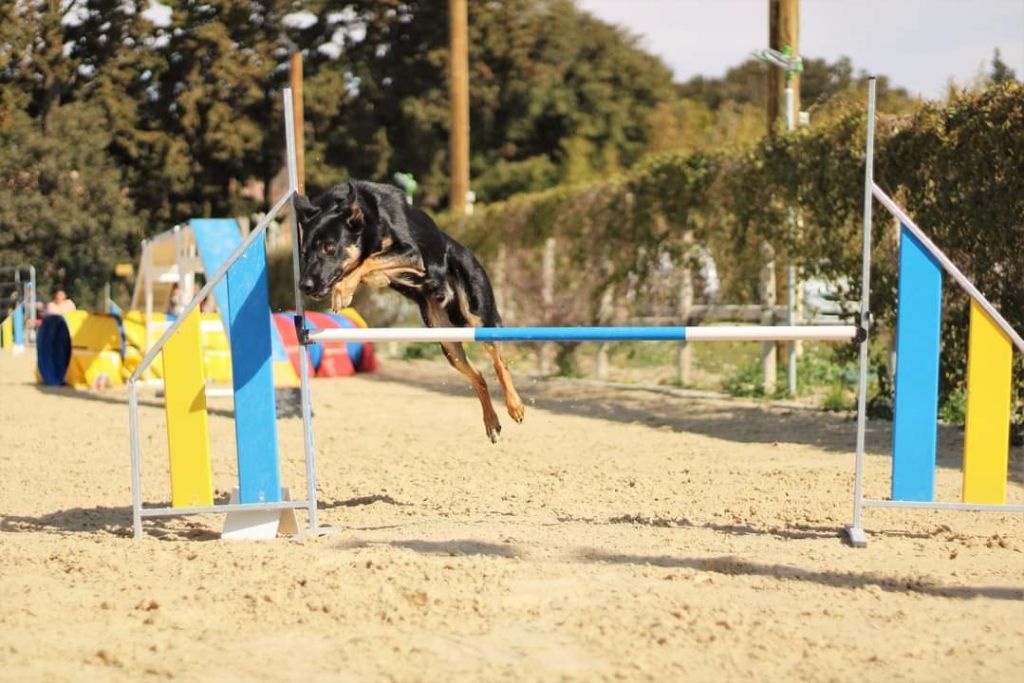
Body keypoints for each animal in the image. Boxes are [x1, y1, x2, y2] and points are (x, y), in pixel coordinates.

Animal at [292, 179, 524, 440]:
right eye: (304, 253)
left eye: (329, 248)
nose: (304, 285)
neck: (369, 219)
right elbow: (367, 264)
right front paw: (355, 284)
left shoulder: (411, 253)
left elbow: (368, 261)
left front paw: (343, 291)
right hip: (448, 342)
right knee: (479, 376)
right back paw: (491, 421)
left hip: (479, 316)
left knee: (499, 363)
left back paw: (515, 406)